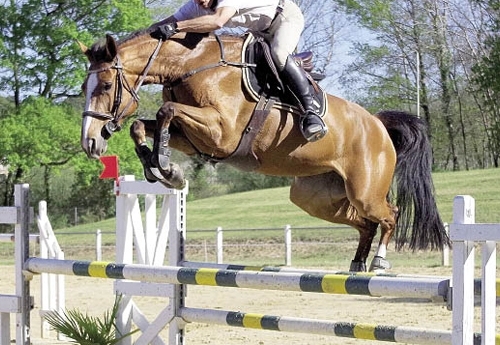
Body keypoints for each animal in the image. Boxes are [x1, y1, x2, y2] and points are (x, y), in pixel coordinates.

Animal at [79, 29, 450, 272]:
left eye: (107, 85)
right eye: (85, 86)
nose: (91, 142)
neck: (191, 64)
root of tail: (377, 123)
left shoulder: (221, 132)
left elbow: (164, 110)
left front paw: (166, 167)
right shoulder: (196, 137)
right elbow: (142, 125)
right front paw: (162, 169)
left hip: (365, 191)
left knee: (390, 214)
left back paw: (380, 260)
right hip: (316, 197)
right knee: (364, 223)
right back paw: (357, 263)